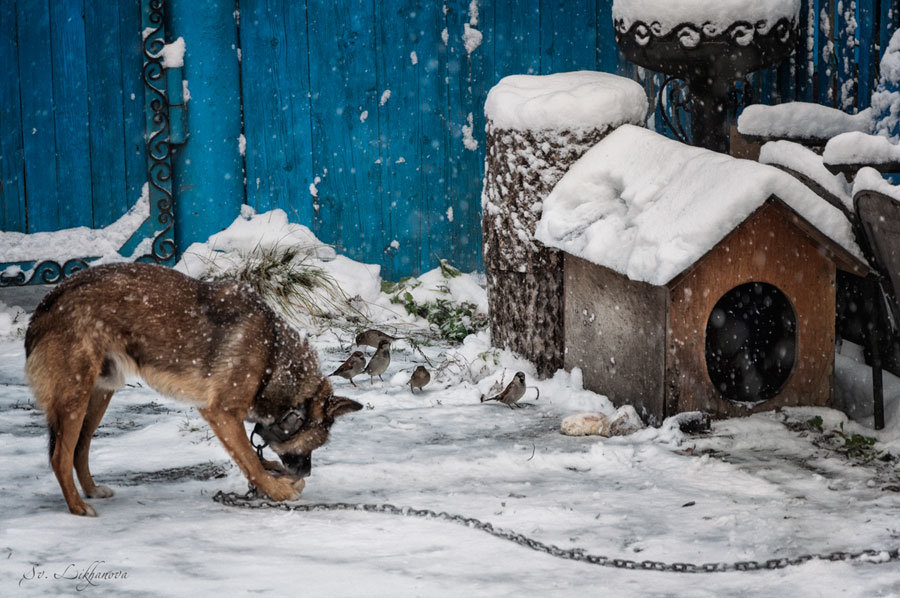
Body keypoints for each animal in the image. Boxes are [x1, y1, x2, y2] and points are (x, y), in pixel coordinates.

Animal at [25, 262, 362, 516]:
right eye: (314, 445)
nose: (305, 473)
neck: (273, 356)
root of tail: (47, 302)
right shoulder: (221, 413)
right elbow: (250, 460)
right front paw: (278, 490)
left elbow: (256, 458)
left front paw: (275, 476)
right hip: (75, 396)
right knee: (60, 456)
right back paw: (78, 507)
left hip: (100, 393)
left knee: (79, 449)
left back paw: (92, 490)